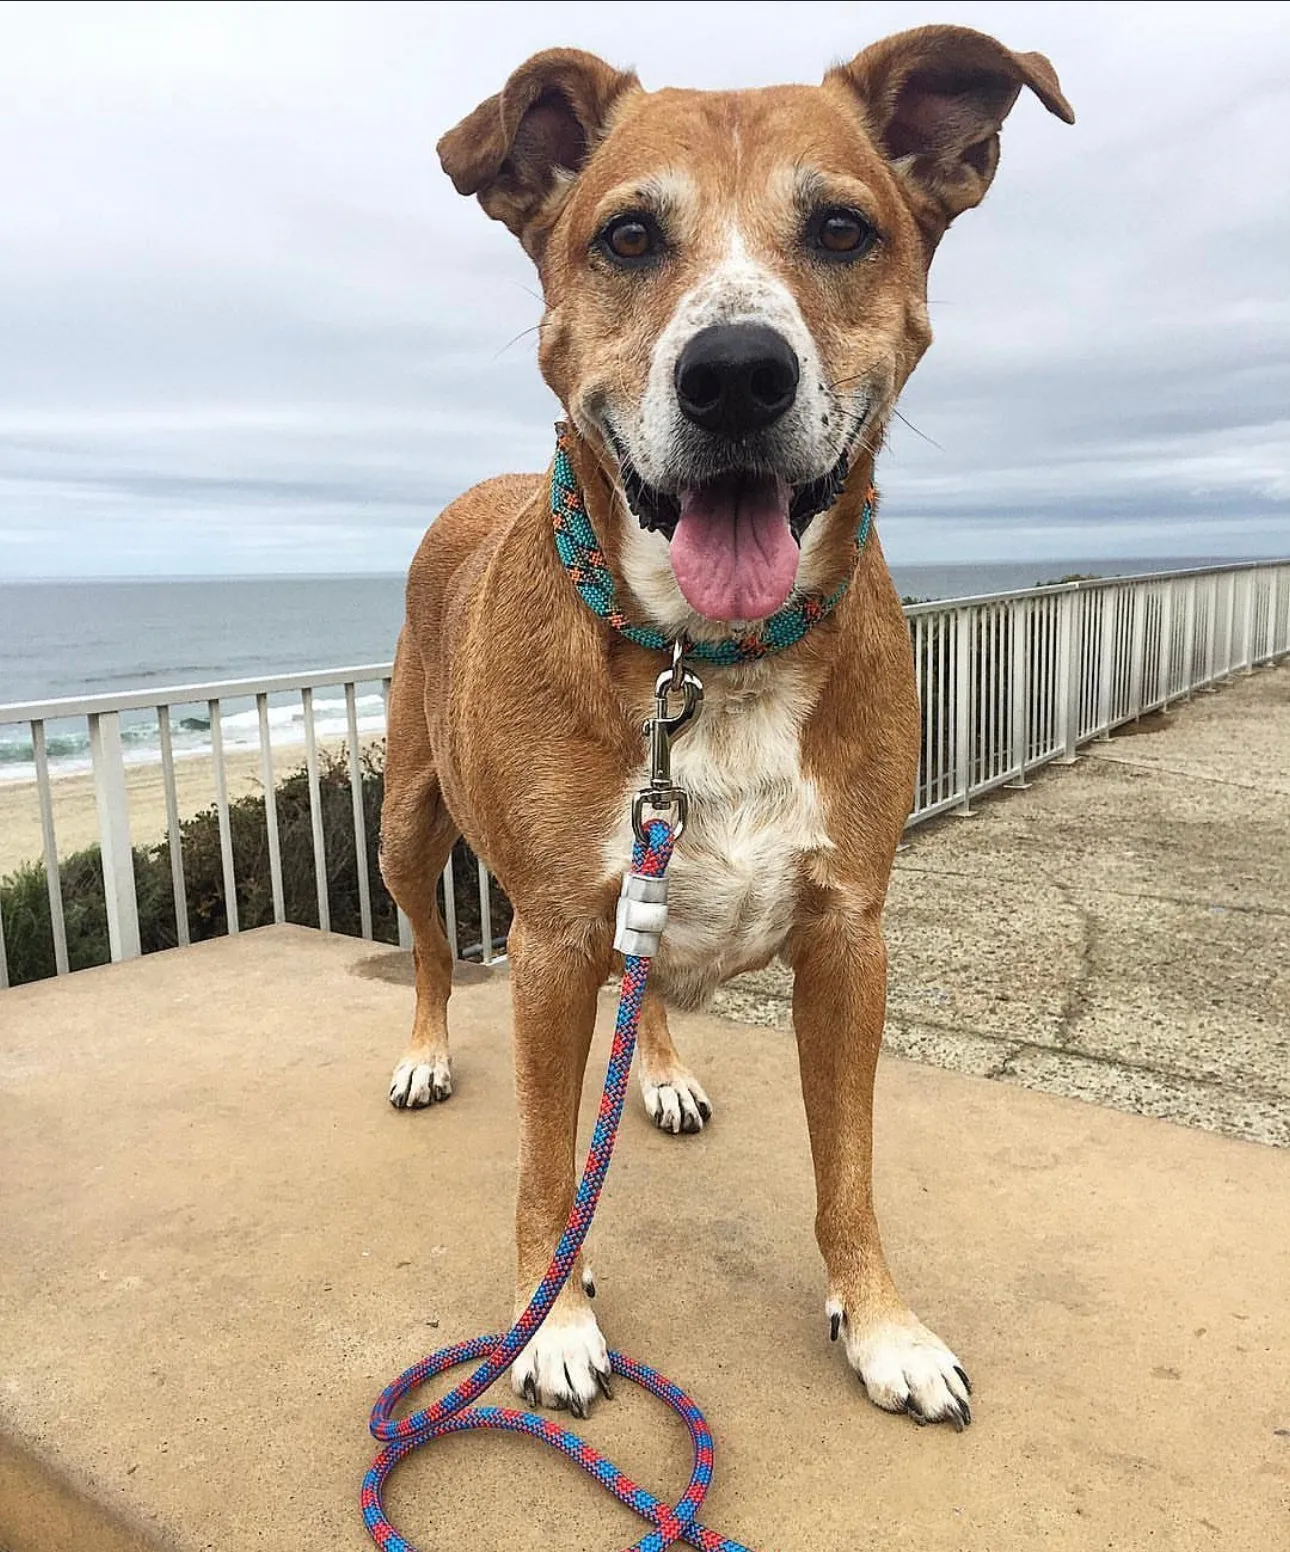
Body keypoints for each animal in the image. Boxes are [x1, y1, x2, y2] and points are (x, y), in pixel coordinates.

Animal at [378, 24, 1074, 1427]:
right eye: (631, 235)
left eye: (844, 229)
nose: (738, 374)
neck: (709, 661)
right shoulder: (549, 942)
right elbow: (547, 1167)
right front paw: (550, 1319)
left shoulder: (852, 937)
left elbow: (848, 1164)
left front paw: (881, 1321)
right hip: (408, 819)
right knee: (426, 943)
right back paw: (427, 1050)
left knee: (650, 980)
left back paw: (658, 1070)